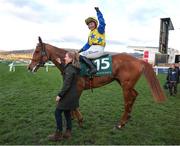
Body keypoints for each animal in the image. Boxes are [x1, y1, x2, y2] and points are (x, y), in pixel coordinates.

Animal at [27, 37, 166, 129]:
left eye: (37, 51)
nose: (29, 67)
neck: (71, 63)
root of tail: (139, 60)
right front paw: (71, 116)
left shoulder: (78, 86)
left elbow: (74, 104)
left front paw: (80, 120)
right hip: (125, 84)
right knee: (134, 95)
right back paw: (128, 117)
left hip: (126, 86)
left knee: (128, 100)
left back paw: (121, 123)